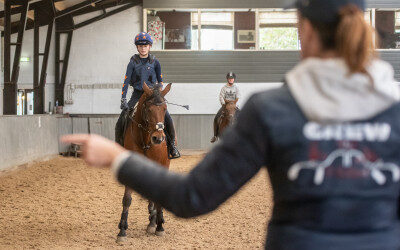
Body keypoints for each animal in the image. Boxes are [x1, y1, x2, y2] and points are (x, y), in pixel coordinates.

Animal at [116, 82, 171, 242]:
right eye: (149, 109)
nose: (158, 139)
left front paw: (160, 226)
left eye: (164, 108)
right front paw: (122, 230)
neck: (145, 140)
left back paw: (154, 222)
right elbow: (127, 199)